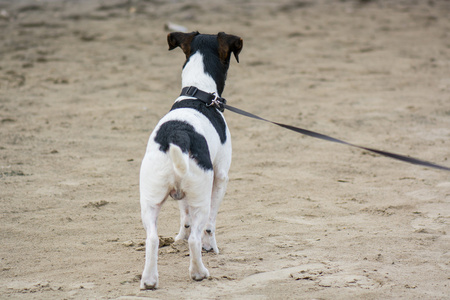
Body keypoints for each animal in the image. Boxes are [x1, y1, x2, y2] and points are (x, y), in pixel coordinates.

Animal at [140, 31, 243, 290]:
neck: (197, 93)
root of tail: (177, 135)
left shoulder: (181, 195)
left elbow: (183, 217)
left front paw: (179, 237)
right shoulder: (221, 177)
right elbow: (210, 224)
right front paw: (211, 247)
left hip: (150, 202)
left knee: (152, 239)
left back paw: (149, 280)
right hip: (201, 198)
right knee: (196, 238)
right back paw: (199, 272)